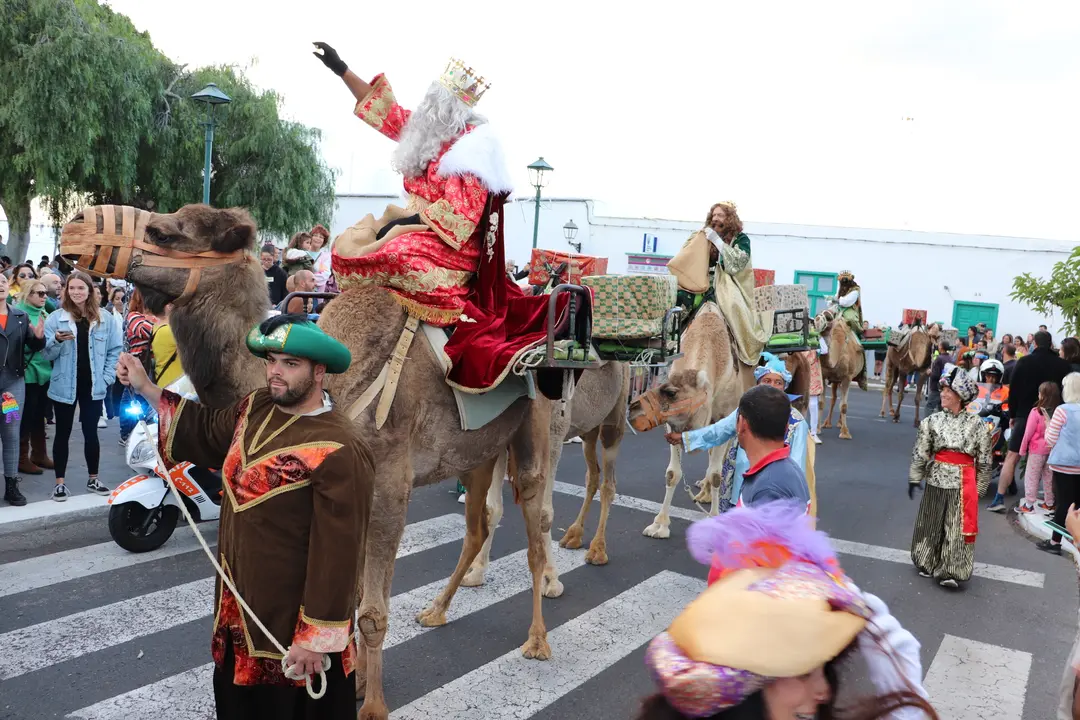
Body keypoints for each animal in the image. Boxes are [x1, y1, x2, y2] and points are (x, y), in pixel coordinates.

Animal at [58, 204, 561, 720]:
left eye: (163, 232)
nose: (74, 227)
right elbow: (349, 598)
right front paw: (354, 685)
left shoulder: (388, 487)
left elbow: (372, 611)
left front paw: (371, 707)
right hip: (478, 453)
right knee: (479, 522)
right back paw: (437, 610)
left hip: (537, 426)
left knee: (536, 519)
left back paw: (538, 638)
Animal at [460, 360, 630, 591]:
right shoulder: (500, 441)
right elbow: (492, 508)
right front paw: (476, 573)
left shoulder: (553, 433)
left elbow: (542, 512)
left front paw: (550, 579)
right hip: (588, 429)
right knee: (592, 475)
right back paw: (573, 535)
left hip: (615, 415)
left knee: (609, 481)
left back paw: (597, 550)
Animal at [622, 302, 747, 537]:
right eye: (661, 379)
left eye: (671, 393)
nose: (632, 410)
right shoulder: (673, 426)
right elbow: (672, 473)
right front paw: (659, 525)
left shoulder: (724, 417)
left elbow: (716, 474)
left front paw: (715, 519)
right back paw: (703, 494)